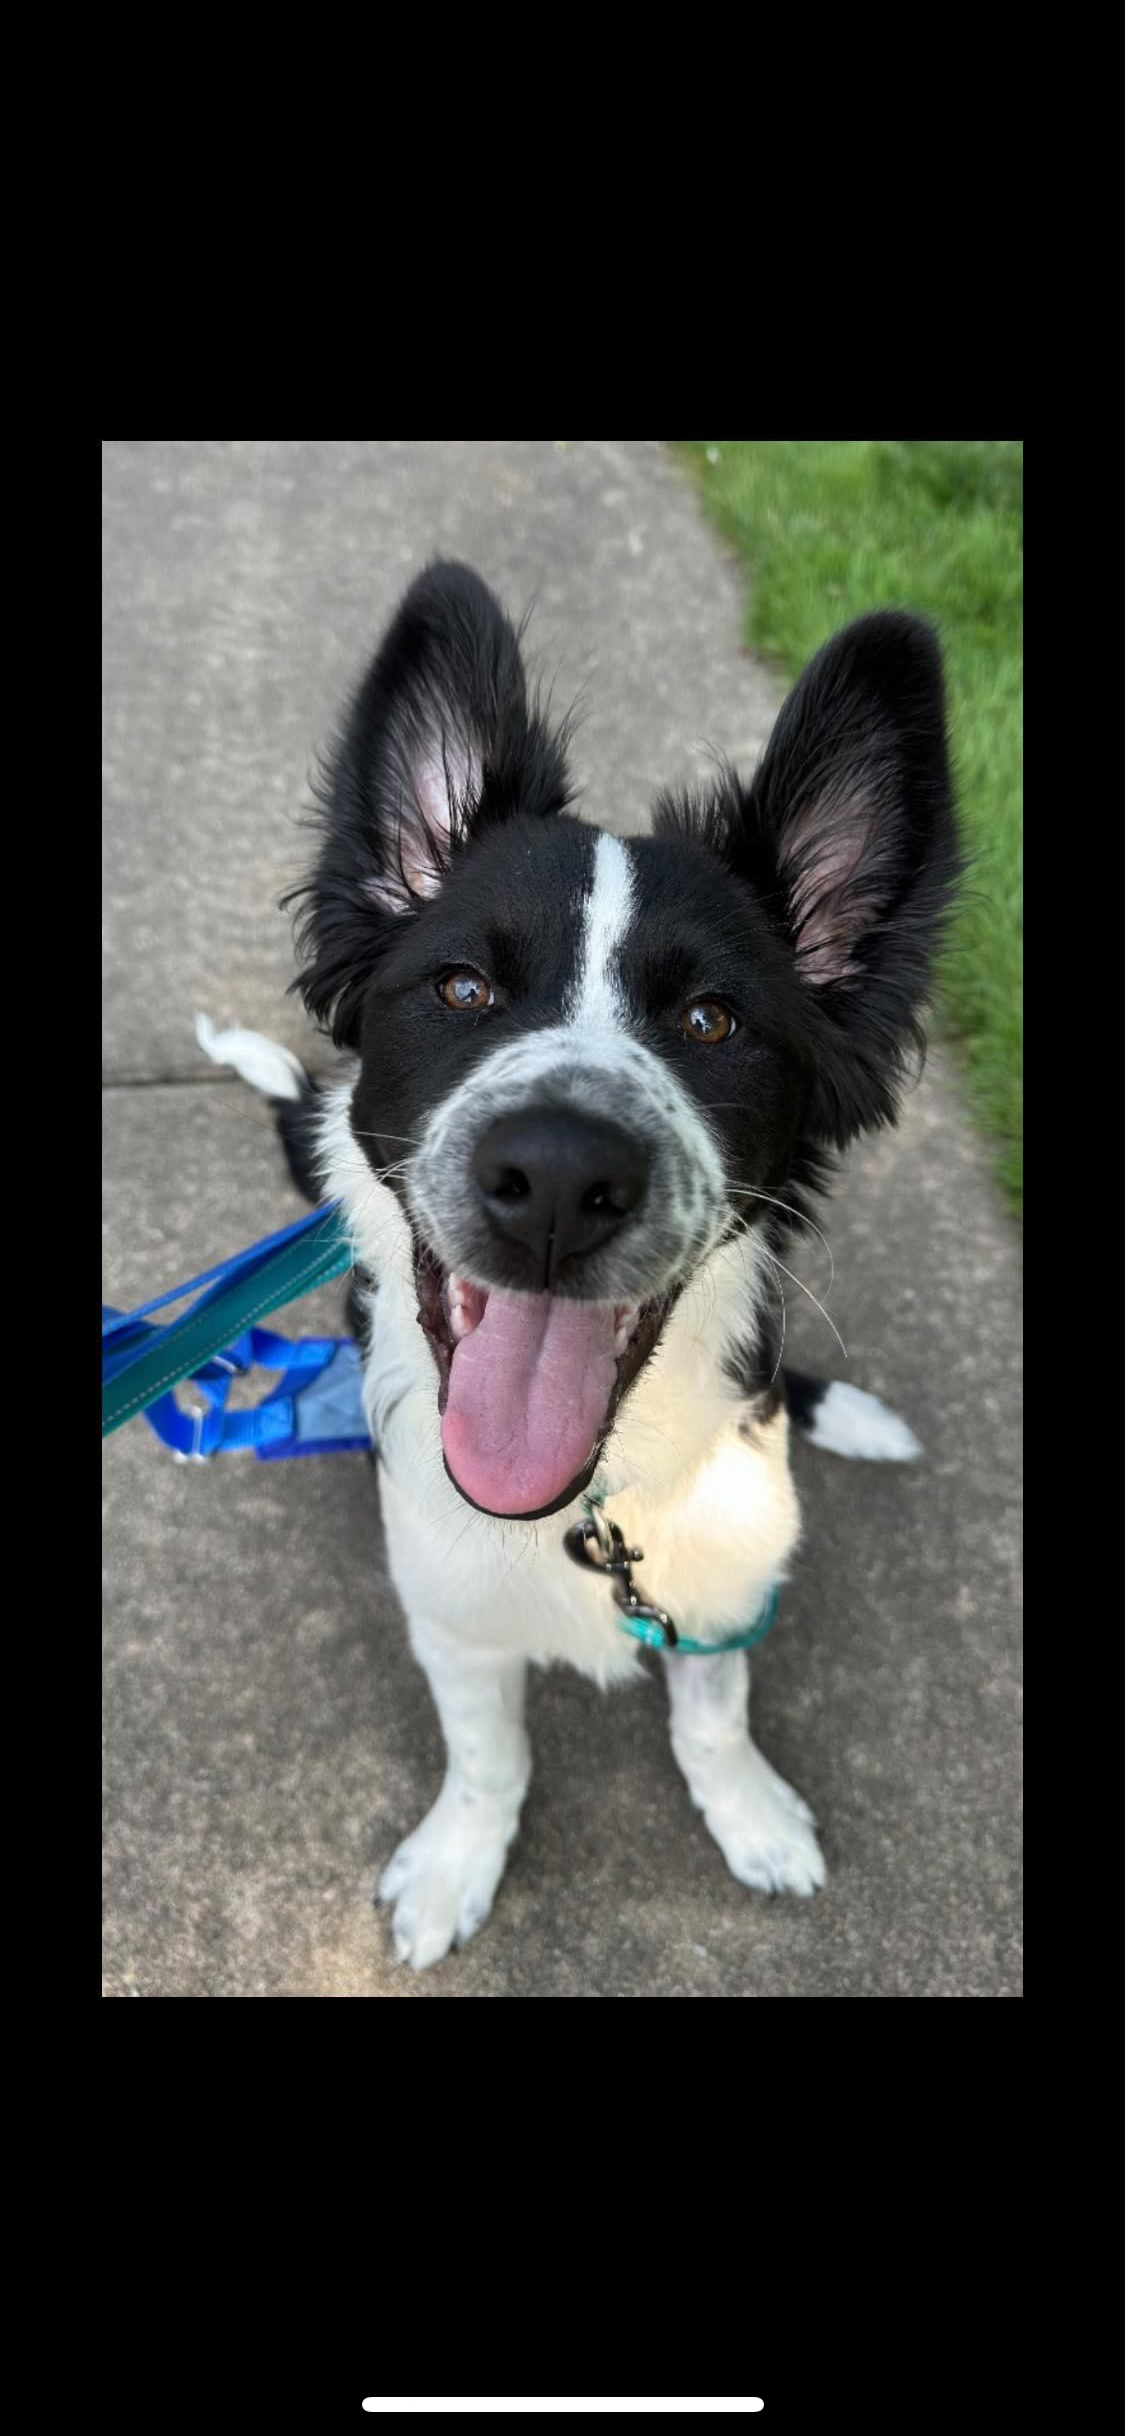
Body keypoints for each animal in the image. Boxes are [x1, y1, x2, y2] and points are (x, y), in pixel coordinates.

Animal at [204, 560, 959, 1968]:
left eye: (714, 1020)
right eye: (459, 988)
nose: (557, 1180)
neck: (588, 1509)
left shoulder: (723, 1578)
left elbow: (712, 1709)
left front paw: (749, 1814)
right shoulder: (447, 1607)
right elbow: (487, 1754)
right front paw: (458, 1864)